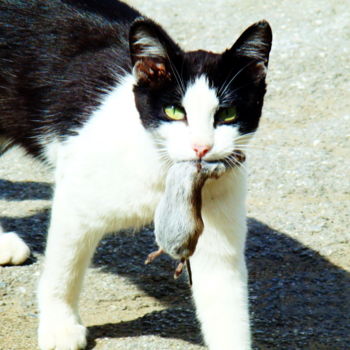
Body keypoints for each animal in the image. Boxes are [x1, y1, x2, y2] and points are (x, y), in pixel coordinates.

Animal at [0, 0, 272, 350]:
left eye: (227, 113)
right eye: (175, 111)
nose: (201, 147)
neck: (164, 172)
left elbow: (226, 304)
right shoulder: (76, 199)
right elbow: (64, 270)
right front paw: (60, 326)